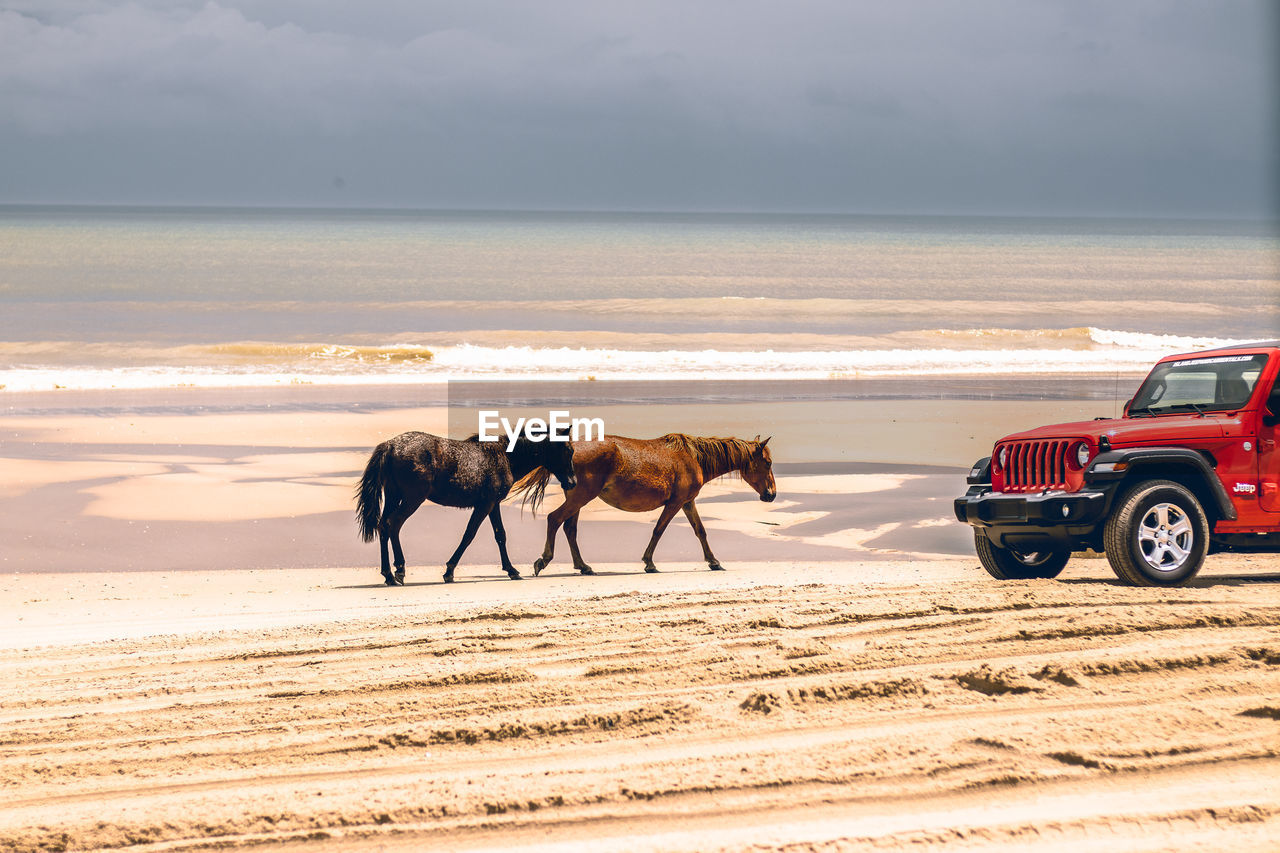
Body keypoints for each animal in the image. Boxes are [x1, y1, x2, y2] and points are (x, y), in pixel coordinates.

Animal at [355, 432, 576, 584]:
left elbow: (500, 535)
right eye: (568, 450)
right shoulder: (485, 505)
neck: (505, 456)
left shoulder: (493, 504)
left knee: (383, 526)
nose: (572, 482)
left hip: (394, 496)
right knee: (394, 524)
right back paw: (399, 570)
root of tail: (391, 445)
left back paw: (388, 575)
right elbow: (469, 534)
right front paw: (449, 571)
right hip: (412, 499)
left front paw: (511, 570)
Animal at [512, 432, 773, 578]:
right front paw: (649, 563)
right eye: (768, 463)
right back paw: (544, 560)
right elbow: (658, 530)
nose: (771, 494)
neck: (694, 458)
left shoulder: (688, 502)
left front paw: (714, 562)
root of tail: (572, 448)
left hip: (578, 499)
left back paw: (584, 566)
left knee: (569, 528)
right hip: (581, 497)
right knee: (555, 519)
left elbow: (700, 531)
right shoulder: (676, 503)